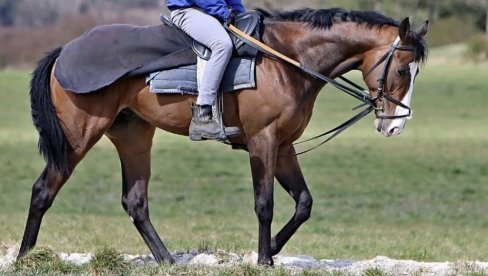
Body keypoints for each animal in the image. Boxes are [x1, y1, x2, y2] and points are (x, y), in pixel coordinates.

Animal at [18, 8, 428, 266]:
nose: (395, 125)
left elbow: (304, 203)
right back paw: (24, 257)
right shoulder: (263, 141)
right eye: (403, 70)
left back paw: (168, 261)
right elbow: (265, 204)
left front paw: (272, 249)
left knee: (135, 201)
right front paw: (263, 259)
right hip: (77, 139)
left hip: (134, 137)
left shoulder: (283, 146)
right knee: (42, 191)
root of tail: (64, 50)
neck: (287, 59)